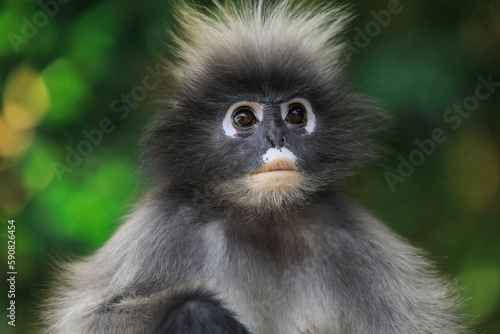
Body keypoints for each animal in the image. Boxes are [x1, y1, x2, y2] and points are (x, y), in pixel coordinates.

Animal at [41, 0, 466, 334]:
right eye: (244, 118)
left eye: (296, 114)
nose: (276, 138)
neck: (265, 220)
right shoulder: (168, 222)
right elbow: (90, 318)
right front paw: (199, 316)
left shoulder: (352, 235)